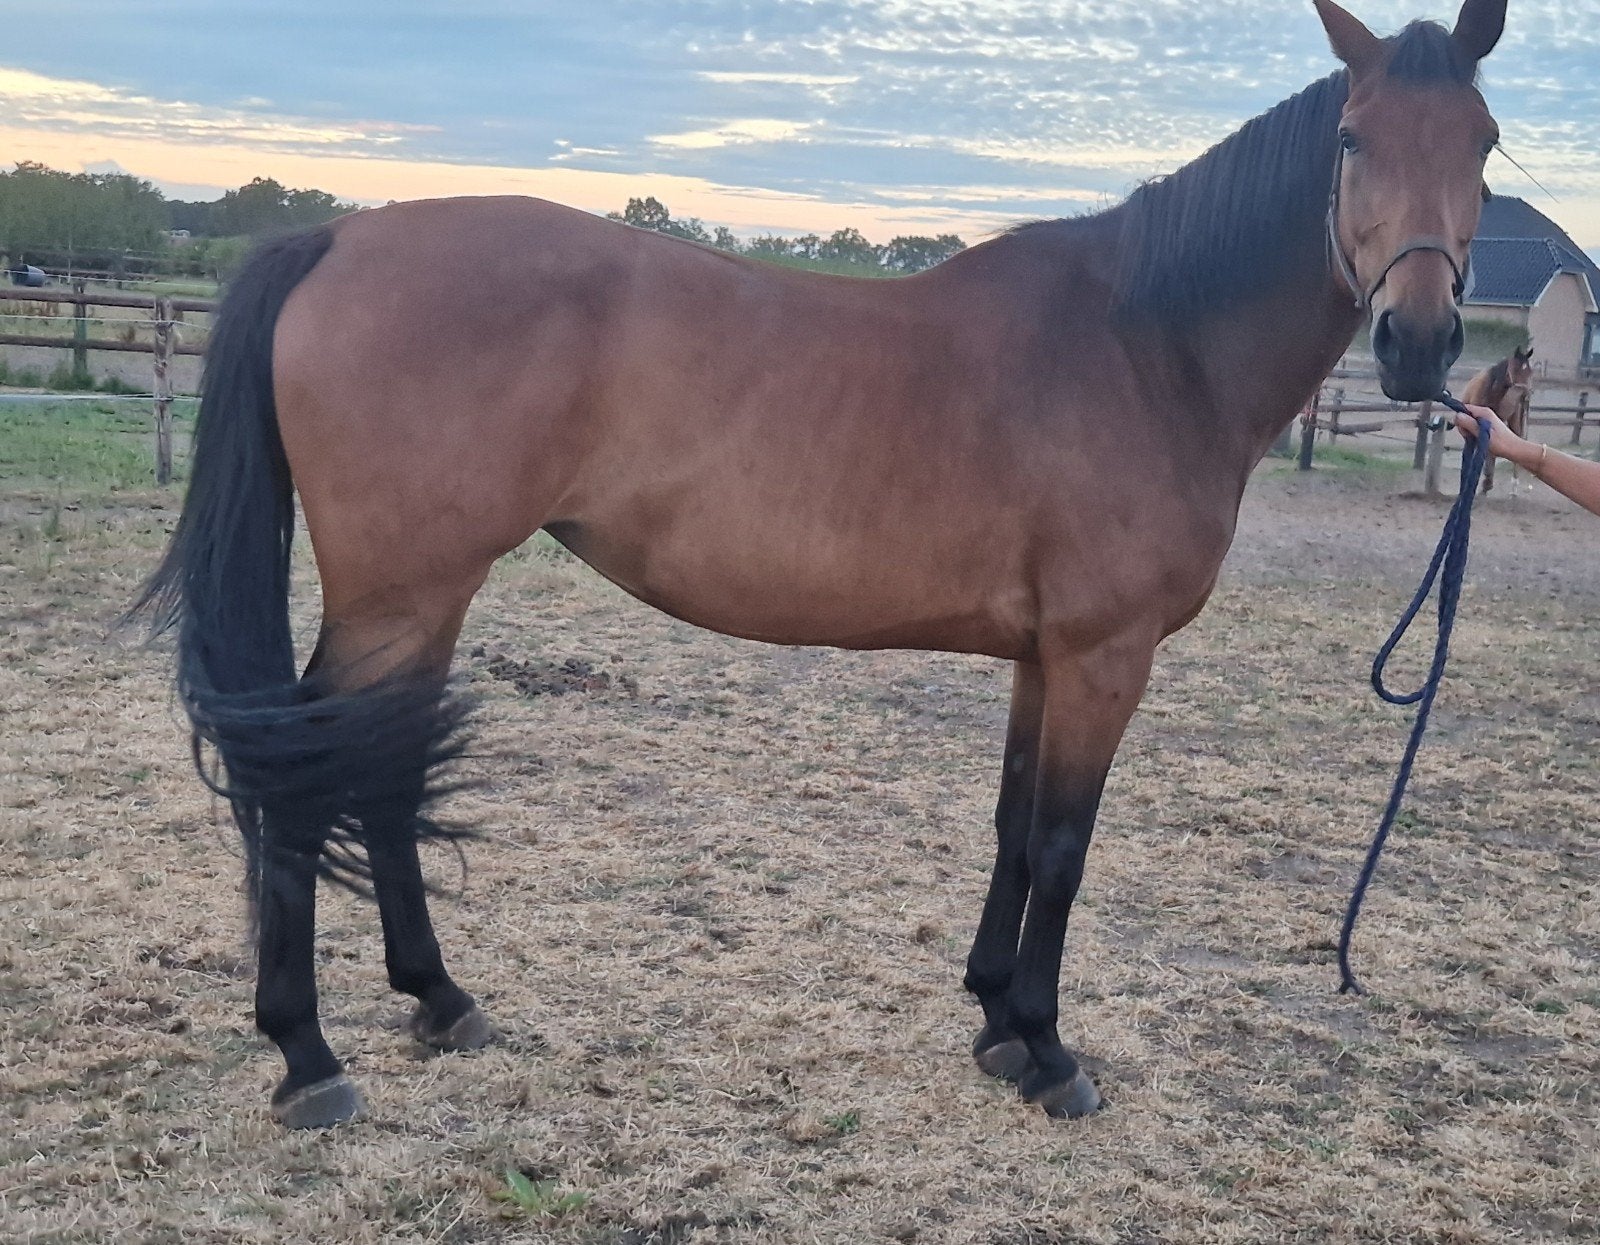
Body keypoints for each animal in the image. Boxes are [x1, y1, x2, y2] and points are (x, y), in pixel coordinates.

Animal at [134, 0, 1508, 1129]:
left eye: (1485, 143)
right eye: (1351, 138)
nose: (1419, 342)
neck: (1143, 345)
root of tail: (340, 237)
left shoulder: (1042, 656)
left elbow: (1014, 825)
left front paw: (995, 1021)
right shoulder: (1102, 657)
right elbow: (1064, 847)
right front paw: (1051, 1054)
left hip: (423, 597)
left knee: (373, 769)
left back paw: (438, 1000)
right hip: (401, 588)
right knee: (311, 773)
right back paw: (309, 1060)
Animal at [1463, 344, 1534, 492]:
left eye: (1530, 372)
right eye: (1515, 368)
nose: (1525, 396)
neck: (1491, 390)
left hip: (1514, 422)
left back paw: (1511, 486)